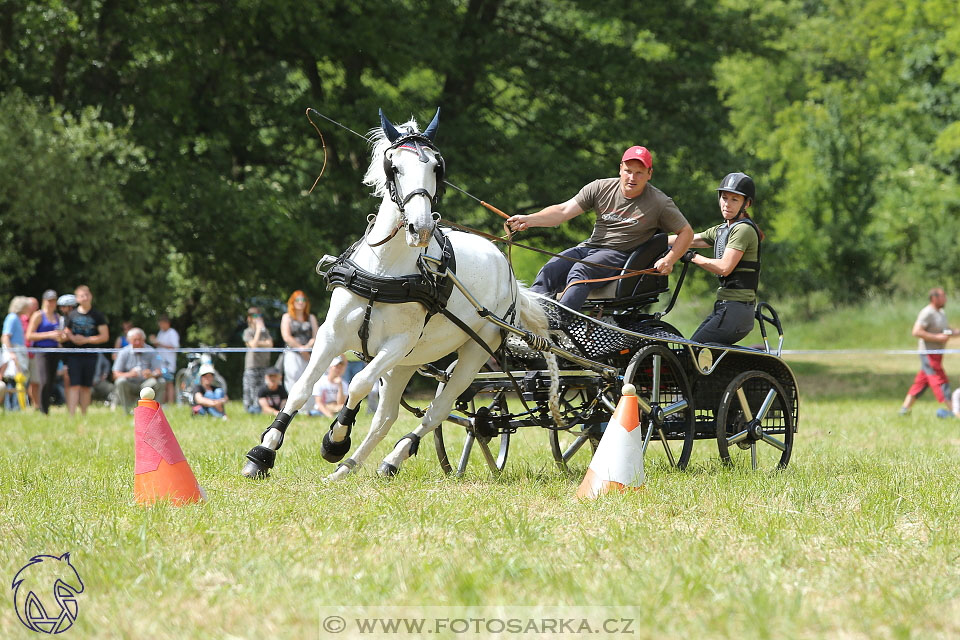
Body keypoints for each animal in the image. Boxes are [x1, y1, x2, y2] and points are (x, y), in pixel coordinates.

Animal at [244, 109, 560, 480]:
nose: (420, 227)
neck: (383, 270)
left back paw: (391, 457)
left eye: (437, 167)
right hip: (409, 362)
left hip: (470, 354)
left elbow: (358, 383)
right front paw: (263, 453)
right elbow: (300, 389)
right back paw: (348, 470)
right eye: (393, 166)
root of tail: (506, 268)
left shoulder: (397, 344)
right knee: (386, 417)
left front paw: (335, 440)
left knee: (436, 411)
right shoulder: (331, 335)